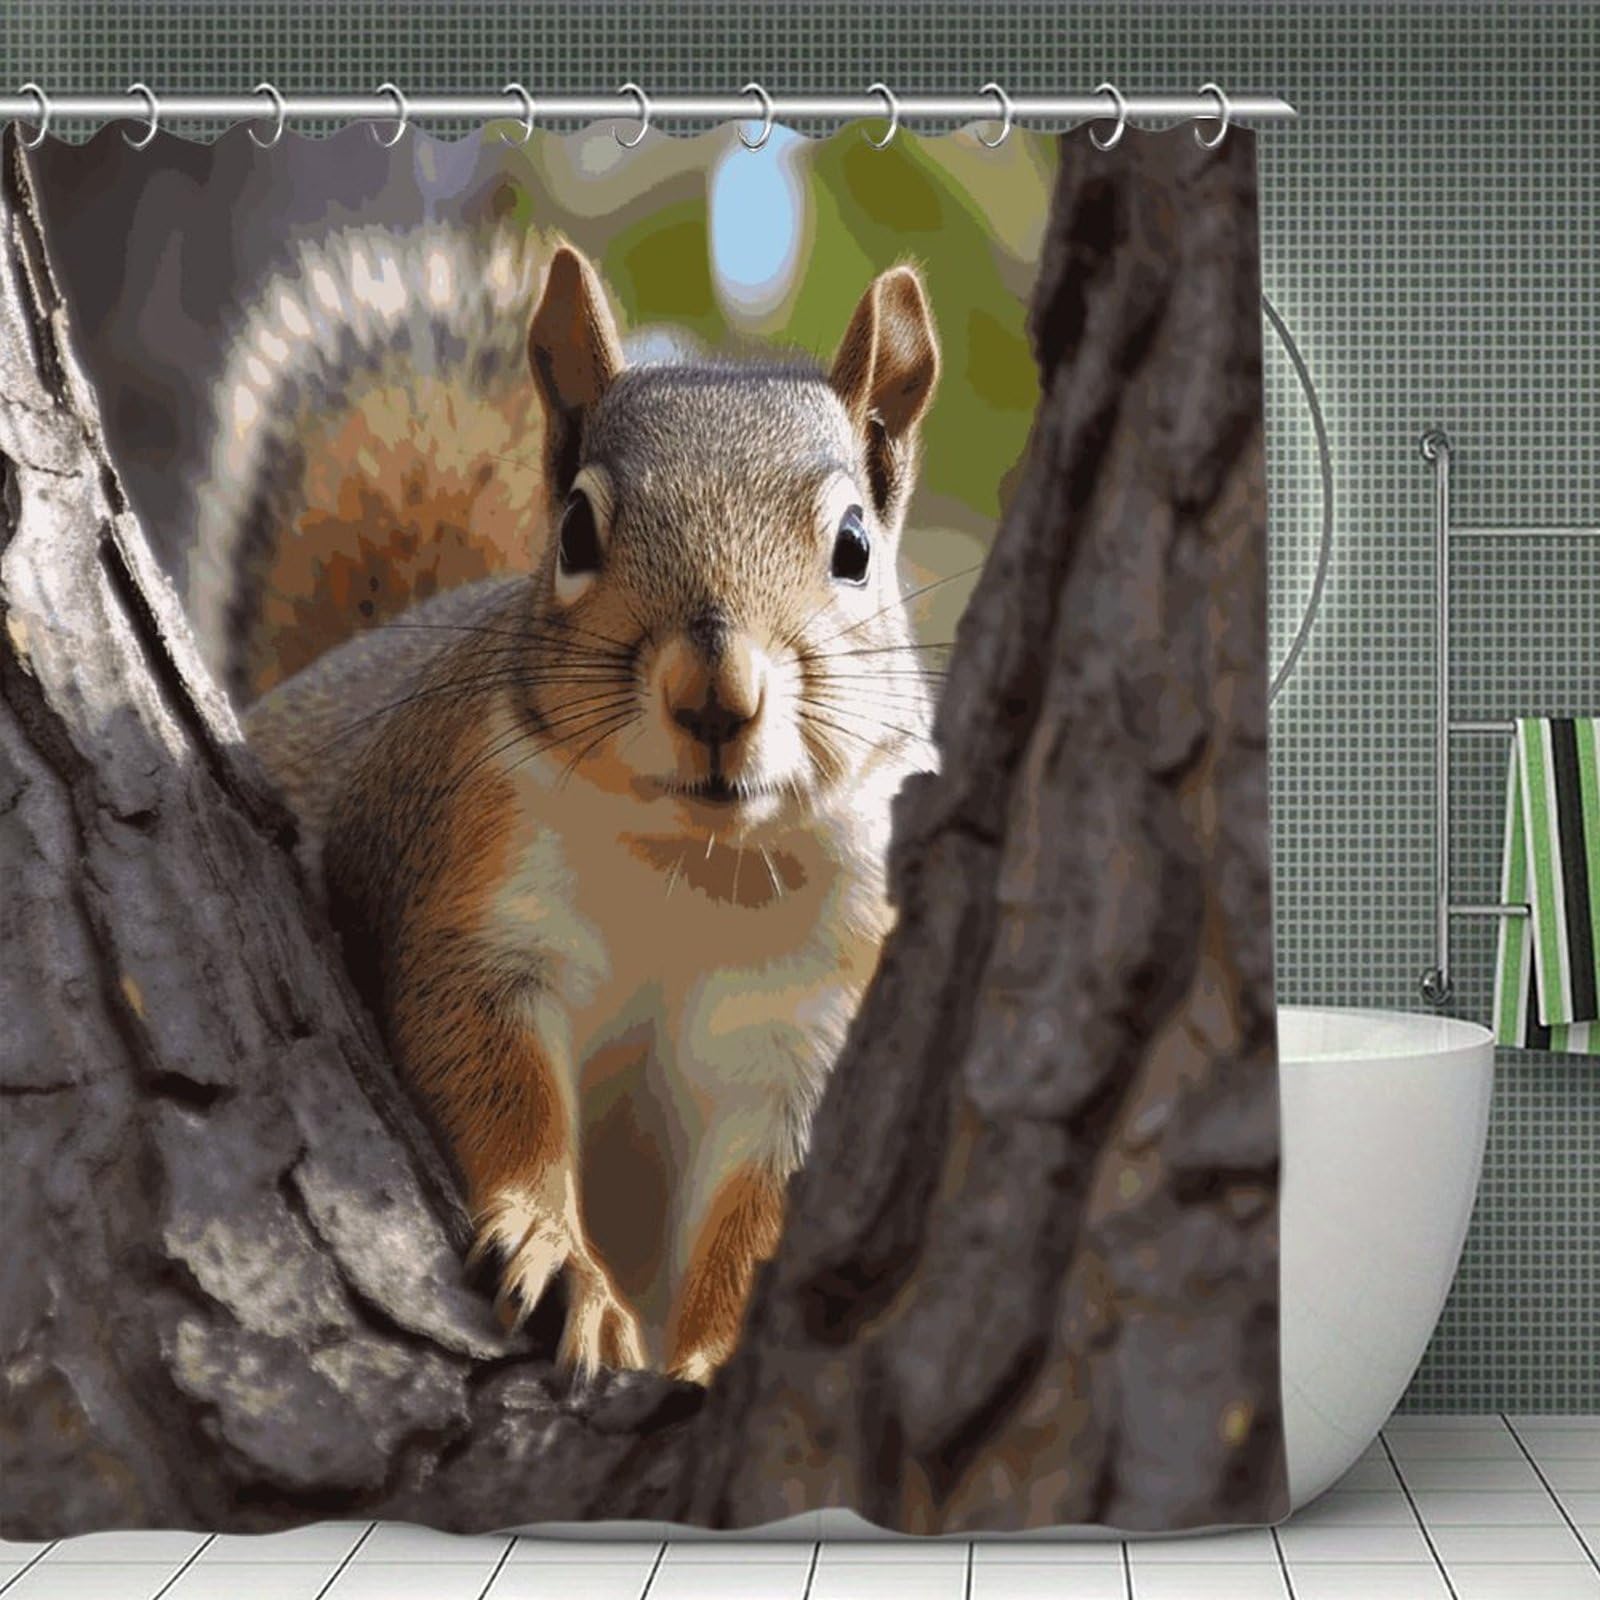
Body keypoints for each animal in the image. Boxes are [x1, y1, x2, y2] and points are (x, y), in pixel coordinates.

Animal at [208, 222, 942, 1382]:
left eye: (856, 547)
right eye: (577, 530)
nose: (714, 694)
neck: (693, 862)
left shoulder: (806, 1022)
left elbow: (760, 1209)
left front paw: (714, 1357)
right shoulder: (478, 901)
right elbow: (495, 1081)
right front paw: (559, 1258)